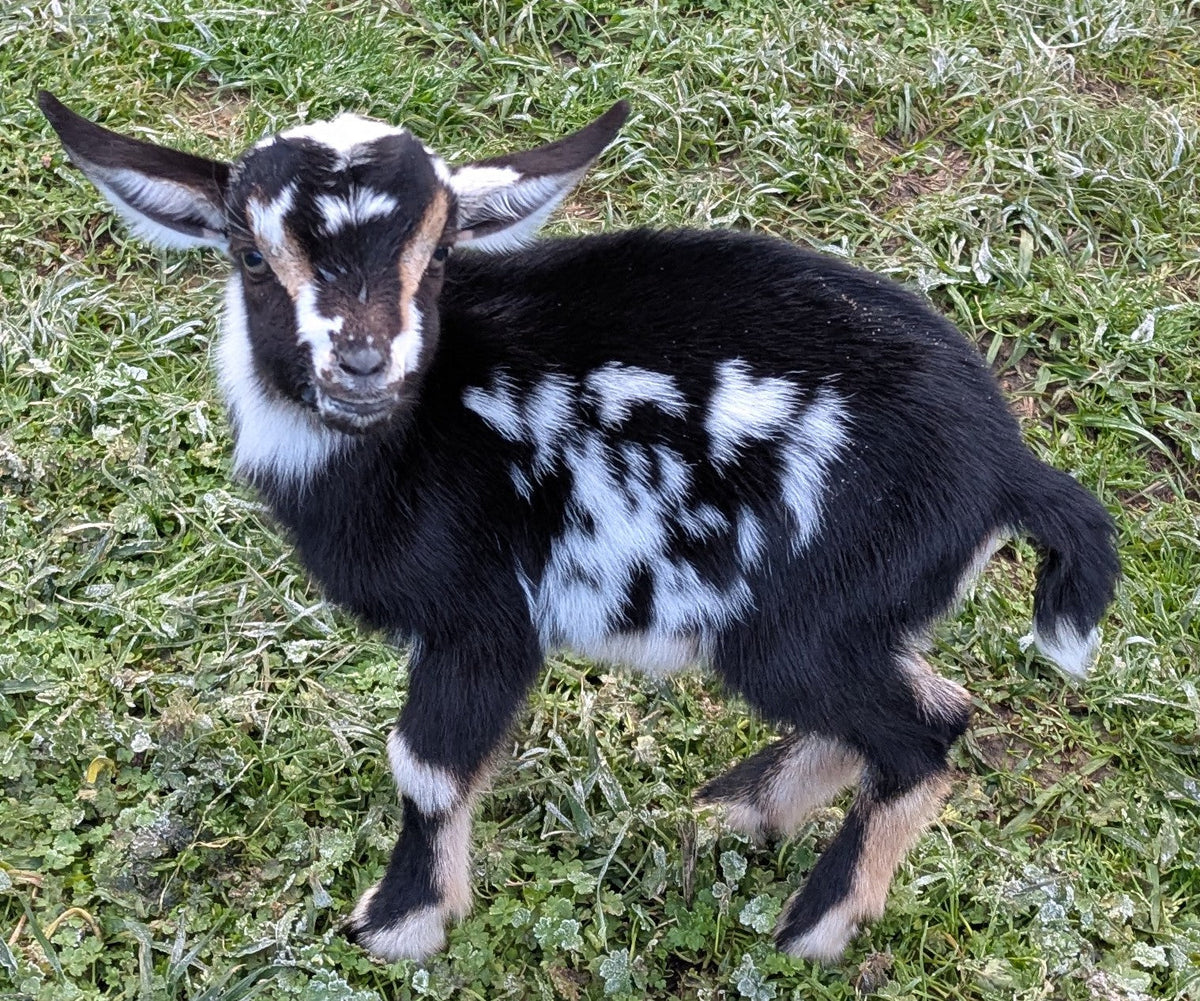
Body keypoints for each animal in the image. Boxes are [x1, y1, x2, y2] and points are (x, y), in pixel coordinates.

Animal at [40, 91, 1119, 964]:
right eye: (251, 256)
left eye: (440, 255)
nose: (363, 363)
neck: (415, 432)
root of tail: (1007, 469)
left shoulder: (483, 616)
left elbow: (425, 766)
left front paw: (397, 925)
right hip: (856, 616)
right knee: (936, 698)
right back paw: (741, 809)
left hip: (793, 620)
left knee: (921, 731)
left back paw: (814, 924)